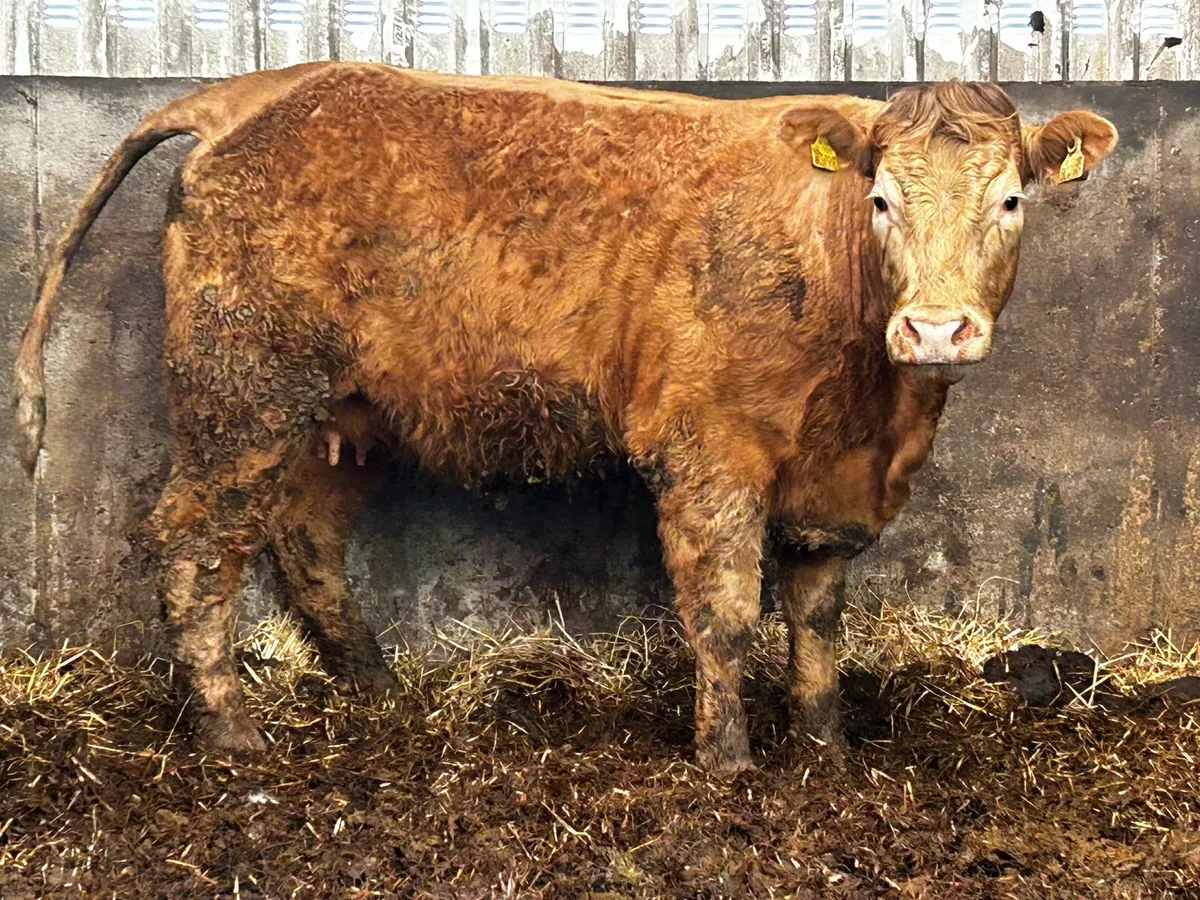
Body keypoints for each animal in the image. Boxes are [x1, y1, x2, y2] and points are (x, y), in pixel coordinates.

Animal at [12, 63, 1117, 773]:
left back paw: (373, 685)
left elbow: (815, 616)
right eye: (882, 198)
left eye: (1011, 200)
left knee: (306, 539)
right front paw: (728, 761)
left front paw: (827, 748)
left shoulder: (835, 482)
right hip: (240, 395)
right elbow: (724, 610)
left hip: (346, 414)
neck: (873, 409)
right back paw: (231, 730)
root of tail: (245, 93)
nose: (935, 329)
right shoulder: (709, 449)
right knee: (194, 540)